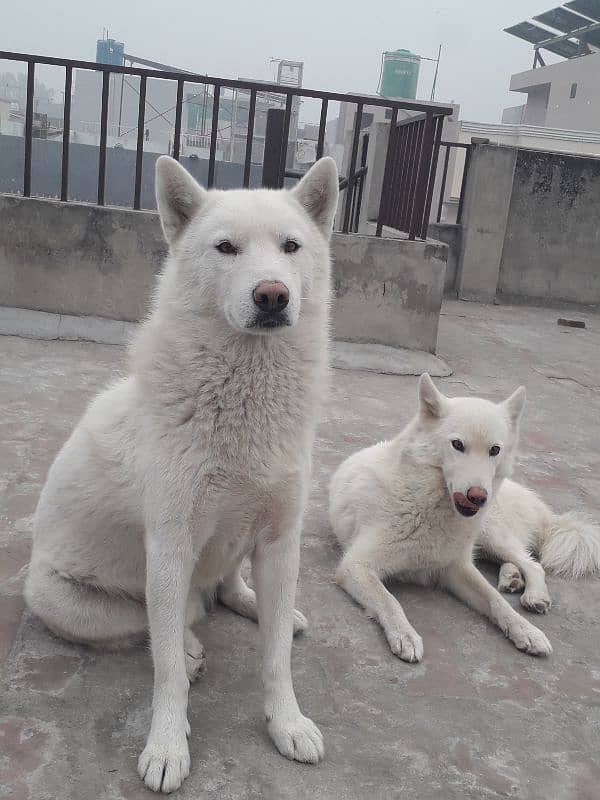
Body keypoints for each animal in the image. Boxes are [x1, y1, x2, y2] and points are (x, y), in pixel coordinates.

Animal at [23, 153, 340, 792]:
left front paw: (287, 722)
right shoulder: (170, 549)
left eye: (291, 246)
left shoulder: (280, 540)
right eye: (226, 248)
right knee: (160, 625)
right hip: (56, 595)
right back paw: (192, 645)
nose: (272, 295)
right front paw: (167, 744)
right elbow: (165, 668)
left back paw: (256, 604)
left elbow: (276, 659)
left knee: (229, 591)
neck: (244, 397)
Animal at [330, 376, 596, 664]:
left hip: (490, 533)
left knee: (532, 564)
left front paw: (525, 630)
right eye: (457, 445)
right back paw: (512, 578)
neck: (428, 504)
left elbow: (496, 601)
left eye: (495, 450)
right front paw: (405, 635)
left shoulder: (456, 568)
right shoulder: (356, 566)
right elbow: (389, 600)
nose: (478, 496)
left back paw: (532, 593)